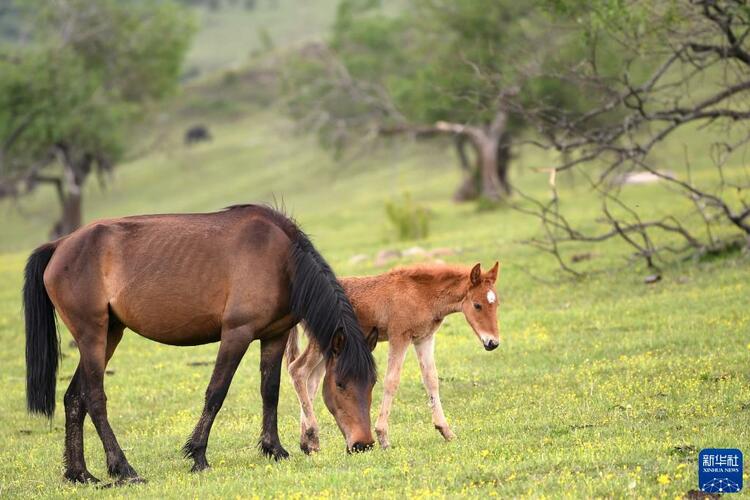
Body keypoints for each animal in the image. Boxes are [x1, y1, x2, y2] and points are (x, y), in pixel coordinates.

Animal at [24, 204, 378, 484]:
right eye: (340, 384)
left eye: (372, 383)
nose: (364, 444)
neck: (280, 258)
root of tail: (59, 245)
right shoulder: (236, 334)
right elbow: (216, 393)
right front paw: (197, 455)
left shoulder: (274, 336)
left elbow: (270, 391)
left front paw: (274, 449)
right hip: (93, 335)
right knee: (95, 398)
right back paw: (123, 468)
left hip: (109, 333)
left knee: (75, 398)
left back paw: (79, 473)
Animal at [286, 262, 500, 454]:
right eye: (477, 305)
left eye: (496, 304)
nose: (493, 343)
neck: (420, 294)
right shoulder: (399, 336)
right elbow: (392, 381)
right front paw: (383, 437)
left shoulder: (424, 338)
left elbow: (431, 380)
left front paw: (446, 431)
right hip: (321, 343)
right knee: (297, 370)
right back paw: (311, 436)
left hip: (330, 347)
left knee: (311, 380)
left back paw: (308, 442)